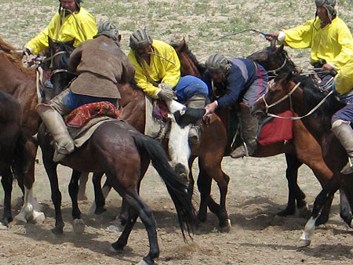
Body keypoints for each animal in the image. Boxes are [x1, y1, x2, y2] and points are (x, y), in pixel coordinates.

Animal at [170, 38, 336, 223]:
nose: (297, 71)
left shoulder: (209, 154)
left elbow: (203, 184)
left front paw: (211, 214)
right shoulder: (196, 154)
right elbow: (194, 182)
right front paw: (203, 213)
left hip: (309, 154)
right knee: (296, 175)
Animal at [250, 70, 353, 245]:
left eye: (273, 91)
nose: (254, 107)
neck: (329, 129)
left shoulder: (340, 171)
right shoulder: (339, 172)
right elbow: (321, 196)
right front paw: (306, 233)